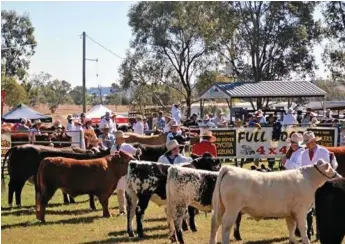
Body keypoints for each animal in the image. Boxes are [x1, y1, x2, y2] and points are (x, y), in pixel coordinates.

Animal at [208, 160, 340, 244]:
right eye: (330, 166)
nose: (338, 175)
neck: (308, 179)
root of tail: (229, 168)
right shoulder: (301, 210)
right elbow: (303, 227)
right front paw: (306, 241)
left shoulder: (290, 212)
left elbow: (291, 226)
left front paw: (293, 241)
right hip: (232, 209)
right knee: (226, 226)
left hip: (221, 207)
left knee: (215, 224)